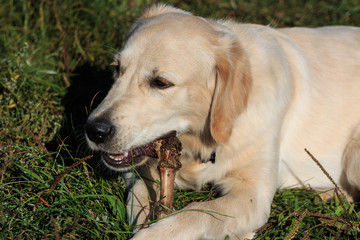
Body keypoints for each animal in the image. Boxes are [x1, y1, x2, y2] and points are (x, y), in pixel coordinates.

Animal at [86, 4, 360, 240]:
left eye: (160, 82)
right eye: (117, 68)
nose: (94, 131)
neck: (201, 142)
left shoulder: (252, 194)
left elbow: (199, 213)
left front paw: (154, 234)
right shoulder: (140, 169)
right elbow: (139, 190)